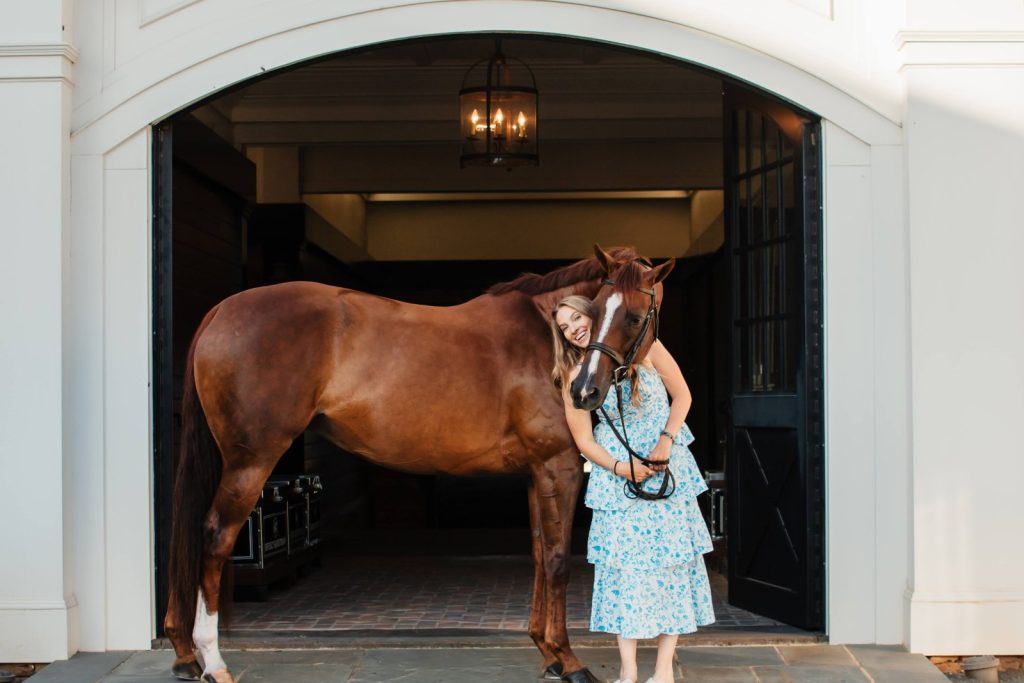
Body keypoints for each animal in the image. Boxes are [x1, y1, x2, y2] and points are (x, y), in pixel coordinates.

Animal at [164, 244, 674, 683]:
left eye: (632, 316)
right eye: (597, 311)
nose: (584, 392)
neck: (544, 338)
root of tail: (222, 310)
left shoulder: (536, 473)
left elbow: (536, 555)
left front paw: (546, 652)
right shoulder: (558, 466)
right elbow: (556, 561)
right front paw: (568, 661)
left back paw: (184, 653)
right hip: (250, 462)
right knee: (213, 536)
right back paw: (212, 660)